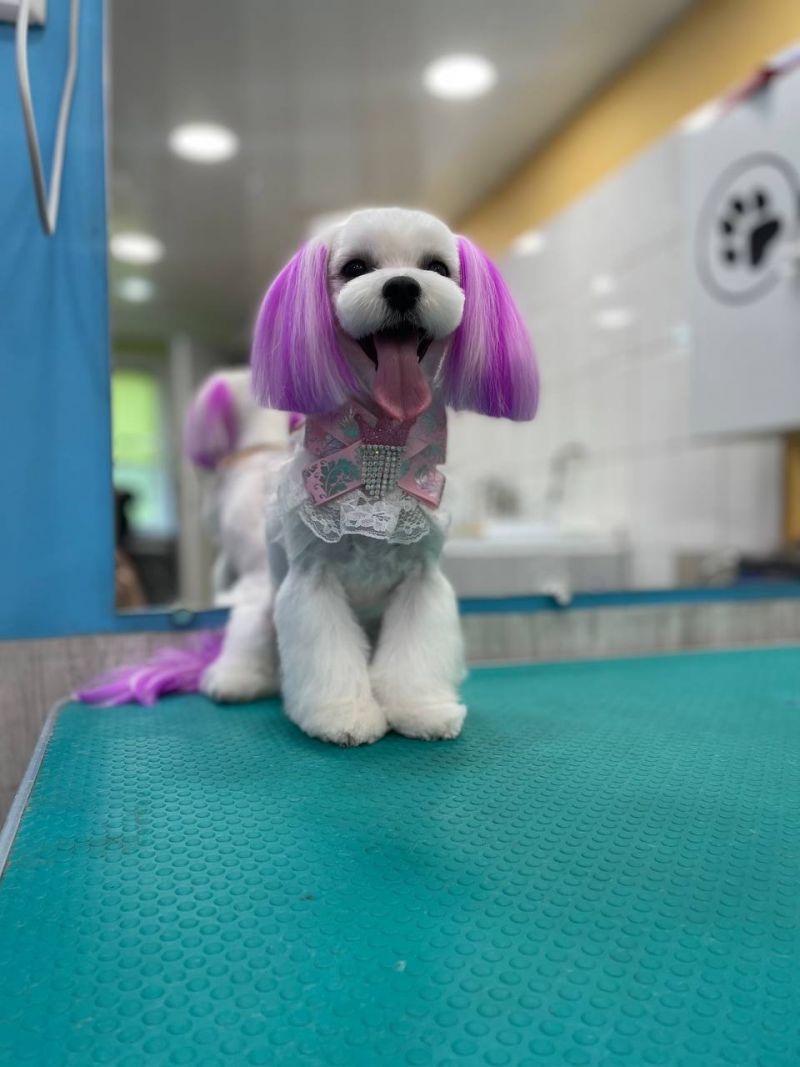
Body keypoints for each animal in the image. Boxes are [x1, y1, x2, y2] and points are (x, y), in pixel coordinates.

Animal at [202, 207, 538, 745]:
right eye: (356, 267)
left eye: (437, 268)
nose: (402, 287)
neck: (383, 438)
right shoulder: (312, 579)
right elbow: (328, 652)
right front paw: (343, 714)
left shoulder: (421, 578)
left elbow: (415, 653)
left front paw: (420, 708)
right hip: (263, 605)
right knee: (249, 638)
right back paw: (235, 680)